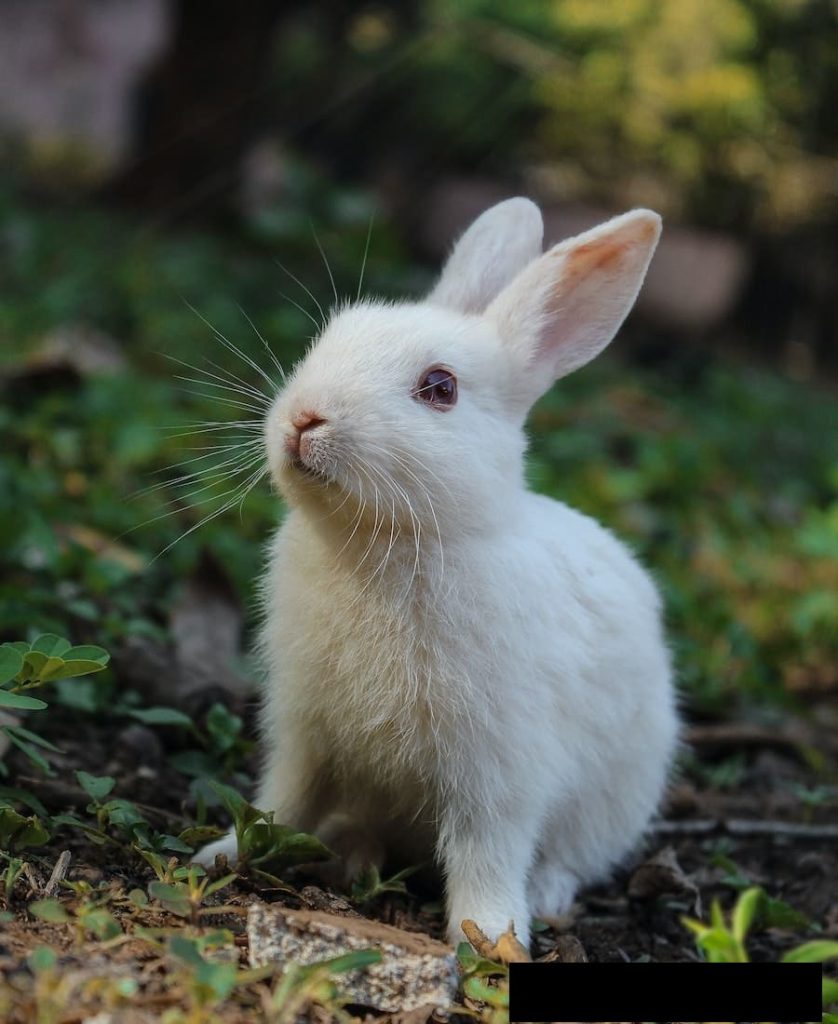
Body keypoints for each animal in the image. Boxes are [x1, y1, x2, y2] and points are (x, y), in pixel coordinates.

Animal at [195, 199, 680, 950]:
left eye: (440, 389)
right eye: (329, 338)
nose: (304, 418)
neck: (385, 542)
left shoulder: (499, 769)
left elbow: (487, 850)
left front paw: (491, 937)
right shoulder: (304, 732)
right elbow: (282, 801)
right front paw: (222, 854)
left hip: (616, 796)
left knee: (571, 856)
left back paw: (545, 896)